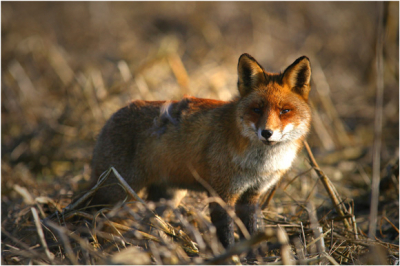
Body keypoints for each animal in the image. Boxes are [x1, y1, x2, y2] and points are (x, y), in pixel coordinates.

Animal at [89, 53, 310, 256]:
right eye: (256, 109)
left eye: (285, 111)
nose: (266, 133)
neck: (259, 165)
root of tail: (112, 114)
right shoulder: (221, 194)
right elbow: (226, 234)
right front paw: (230, 257)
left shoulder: (252, 195)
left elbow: (251, 231)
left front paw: (255, 256)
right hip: (116, 193)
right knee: (91, 213)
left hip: (167, 198)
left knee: (149, 223)